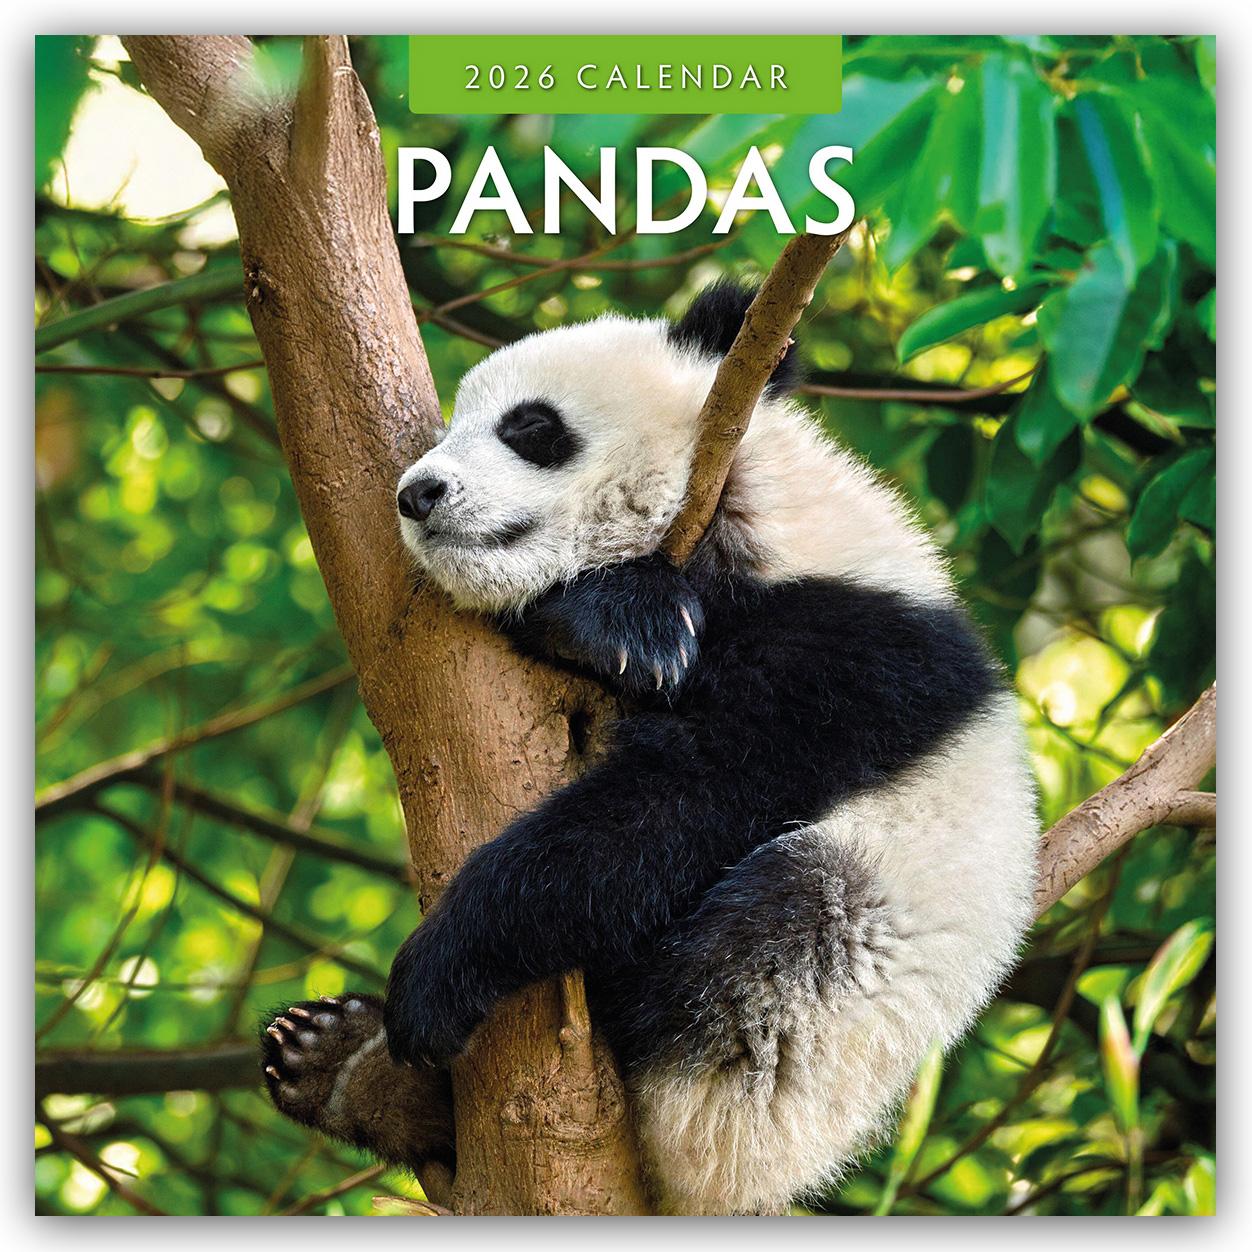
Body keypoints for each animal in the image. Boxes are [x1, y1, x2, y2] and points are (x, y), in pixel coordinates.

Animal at [261, 282, 1039, 1215]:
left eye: (531, 428)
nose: (417, 493)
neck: (745, 509)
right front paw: (610, 626)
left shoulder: (850, 652)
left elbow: (688, 796)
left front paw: (438, 969)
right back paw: (338, 1065)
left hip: (827, 1009)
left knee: (774, 932)